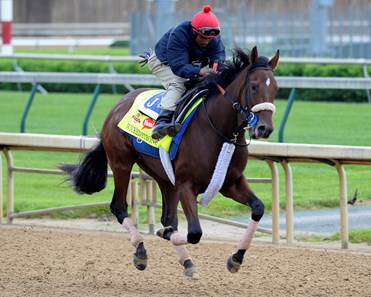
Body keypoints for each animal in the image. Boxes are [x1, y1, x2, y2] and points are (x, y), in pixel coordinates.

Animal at [58, 45, 280, 278]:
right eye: (254, 86)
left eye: (275, 88)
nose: (264, 128)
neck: (218, 130)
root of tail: (117, 106)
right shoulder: (186, 185)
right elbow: (194, 232)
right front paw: (163, 235)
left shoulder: (230, 182)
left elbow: (258, 208)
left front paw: (236, 258)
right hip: (121, 163)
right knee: (118, 207)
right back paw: (141, 251)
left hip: (163, 176)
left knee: (168, 217)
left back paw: (186, 261)